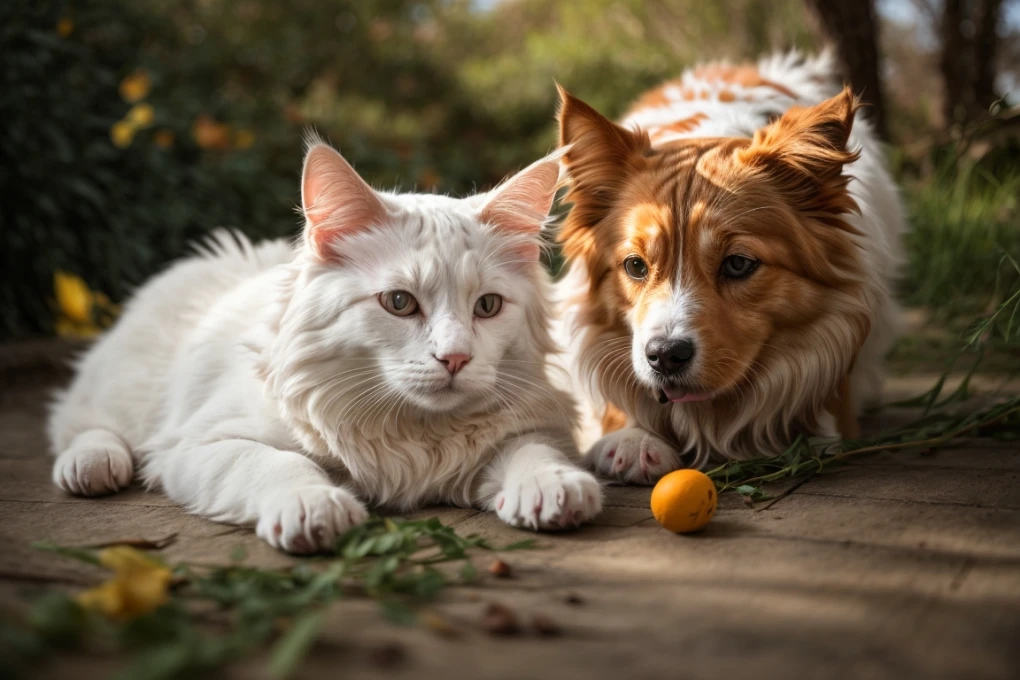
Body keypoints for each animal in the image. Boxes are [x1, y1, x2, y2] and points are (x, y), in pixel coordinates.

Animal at [47, 138, 599, 554]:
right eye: (399, 302)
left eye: (487, 306)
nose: (455, 358)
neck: (411, 432)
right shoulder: (202, 444)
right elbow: (280, 463)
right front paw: (313, 505)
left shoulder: (527, 428)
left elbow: (533, 451)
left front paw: (554, 486)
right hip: (126, 390)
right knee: (78, 421)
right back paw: (92, 465)